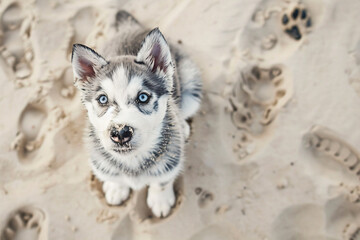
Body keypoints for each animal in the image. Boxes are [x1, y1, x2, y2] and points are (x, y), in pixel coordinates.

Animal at [69, 11, 201, 218]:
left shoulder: (171, 157)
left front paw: (160, 200)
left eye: (143, 97)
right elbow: (113, 176)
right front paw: (116, 188)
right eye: (103, 99)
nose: (120, 133)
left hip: (190, 82)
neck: (131, 160)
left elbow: (162, 180)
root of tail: (132, 28)